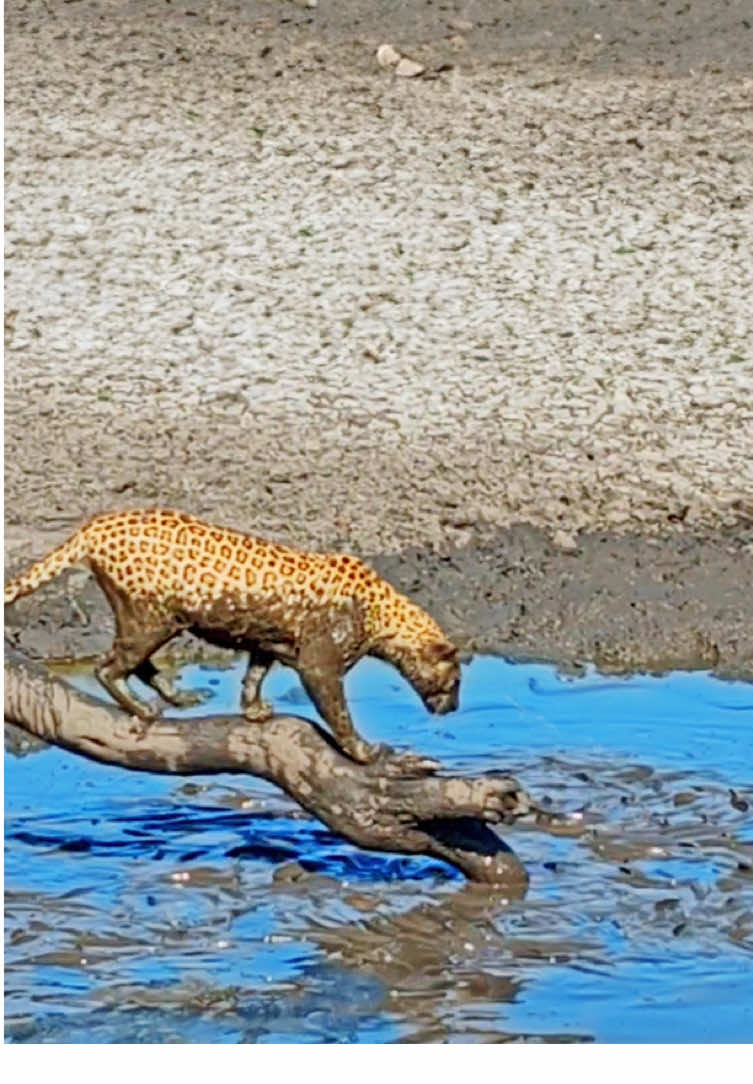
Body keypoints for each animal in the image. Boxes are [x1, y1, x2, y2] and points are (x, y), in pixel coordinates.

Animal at [5, 507, 459, 763]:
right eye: (455, 681)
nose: (453, 707)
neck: (383, 617)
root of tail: (96, 525)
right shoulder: (319, 666)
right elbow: (339, 714)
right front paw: (365, 752)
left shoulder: (267, 641)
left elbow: (254, 674)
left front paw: (254, 711)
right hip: (150, 618)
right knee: (108, 666)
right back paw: (144, 709)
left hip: (153, 619)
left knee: (136, 662)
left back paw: (178, 696)